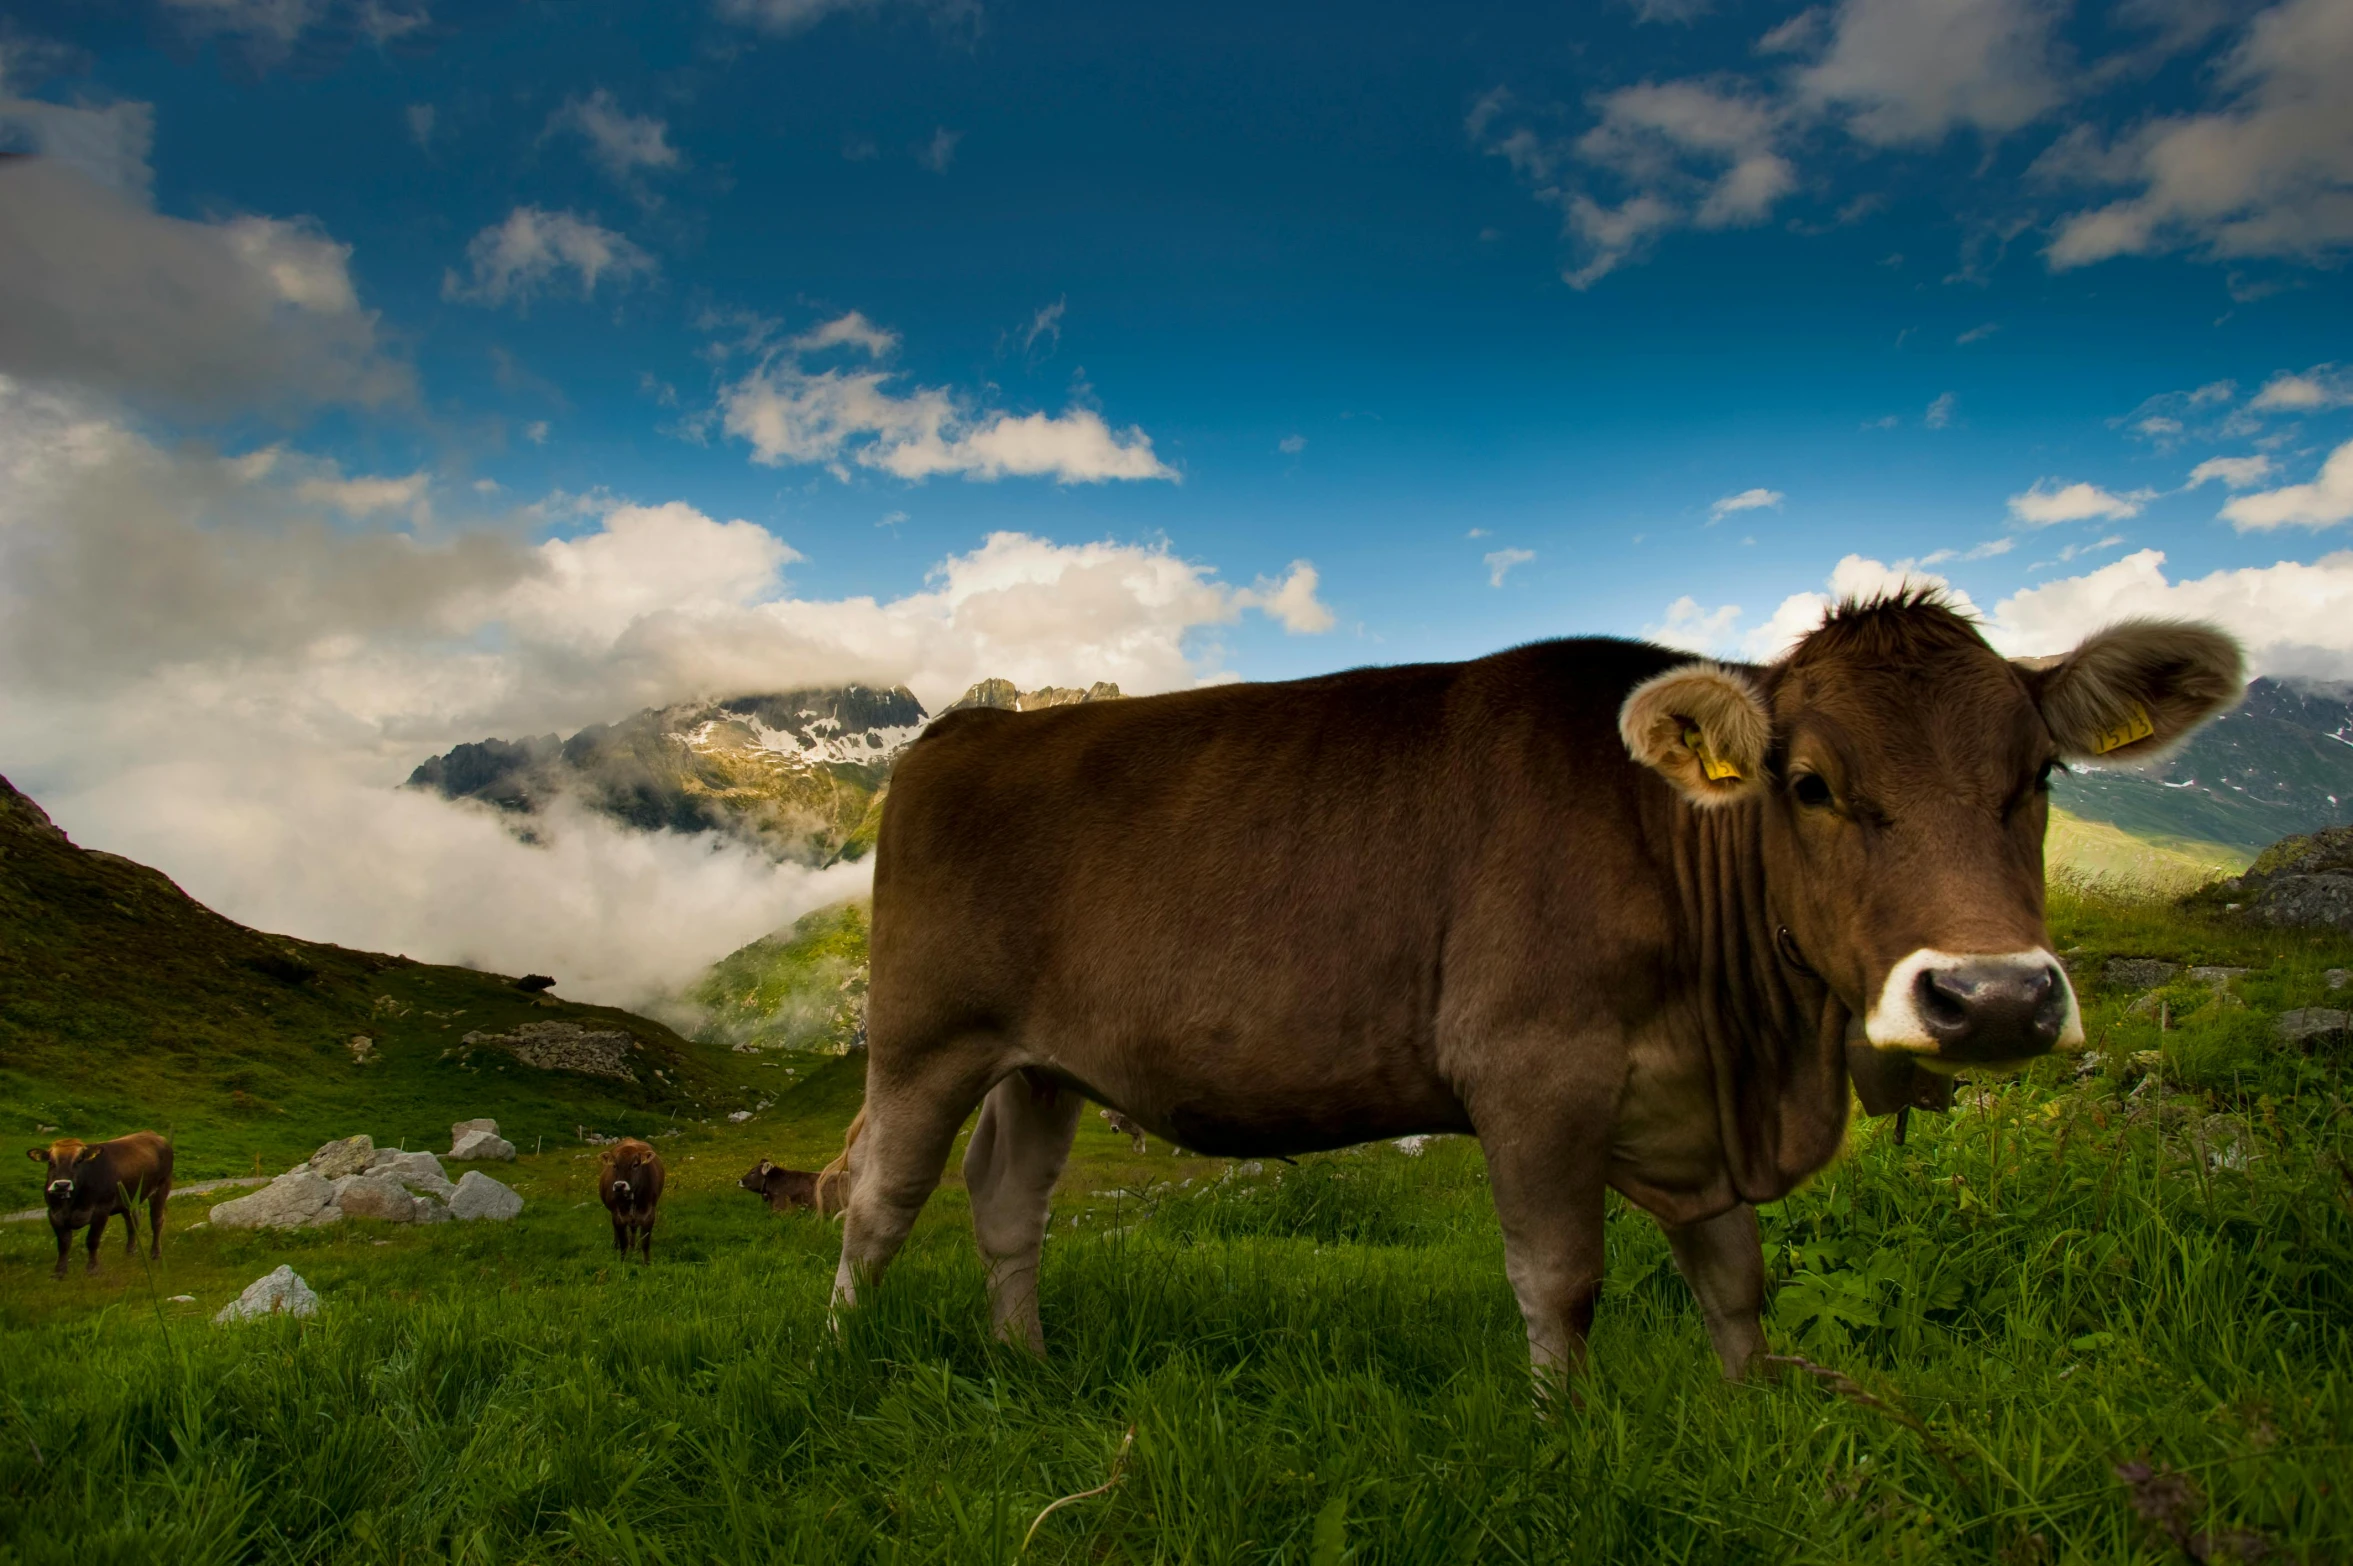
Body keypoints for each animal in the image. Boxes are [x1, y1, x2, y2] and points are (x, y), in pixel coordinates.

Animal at [27, 1128, 172, 1279]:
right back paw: (130, 1250)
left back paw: (155, 1253)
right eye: (50, 1162)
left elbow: (92, 1240)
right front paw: (59, 1272)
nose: (62, 1185)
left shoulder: (101, 1211)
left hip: (162, 1186)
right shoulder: (54, 1214)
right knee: (132, 1223)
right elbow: (63, 1243)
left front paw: (93, 1268)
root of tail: (152, 1133)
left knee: (156, 1221)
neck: (72, 1202)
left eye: (79, 1161)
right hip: (128, 1198)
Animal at [828, 597, 2240, 1392]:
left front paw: (1751, 1413)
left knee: (1007, 1204)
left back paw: (1028, 1366)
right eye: (1810, 786)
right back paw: (839, 1361)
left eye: (2038, 776)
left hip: (1043, 1064)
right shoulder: (1531, 1071)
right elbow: (1560, 1280)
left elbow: (1736, 1282)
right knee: (880, 1202)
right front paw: (1566, 1436)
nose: (1992, 999)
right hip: (924, 1035)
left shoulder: (1692, 1109)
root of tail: (974, 729)